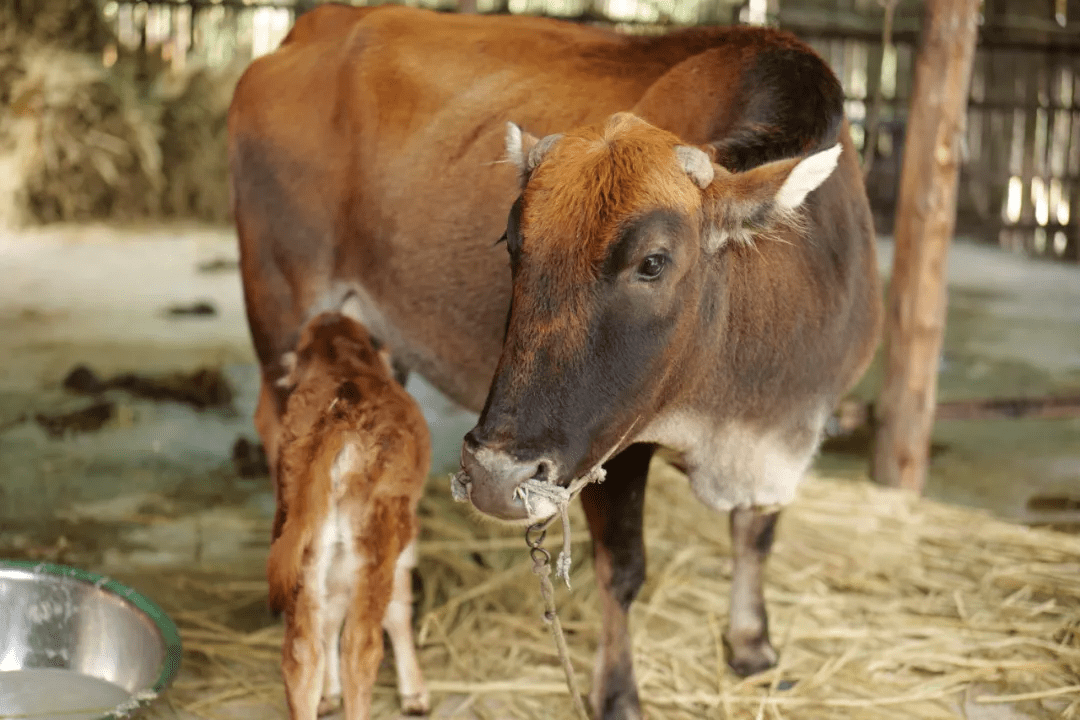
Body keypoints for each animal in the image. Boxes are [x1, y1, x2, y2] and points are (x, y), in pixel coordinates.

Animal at [265, 313, 429, 720]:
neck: (343, 361)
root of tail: (340, 413)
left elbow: (329, 616)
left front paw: (328, 694)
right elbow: (399, 608)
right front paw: (414, 692)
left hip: (303, 546)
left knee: (301, 654)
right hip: (376, 541)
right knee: (361, 648)